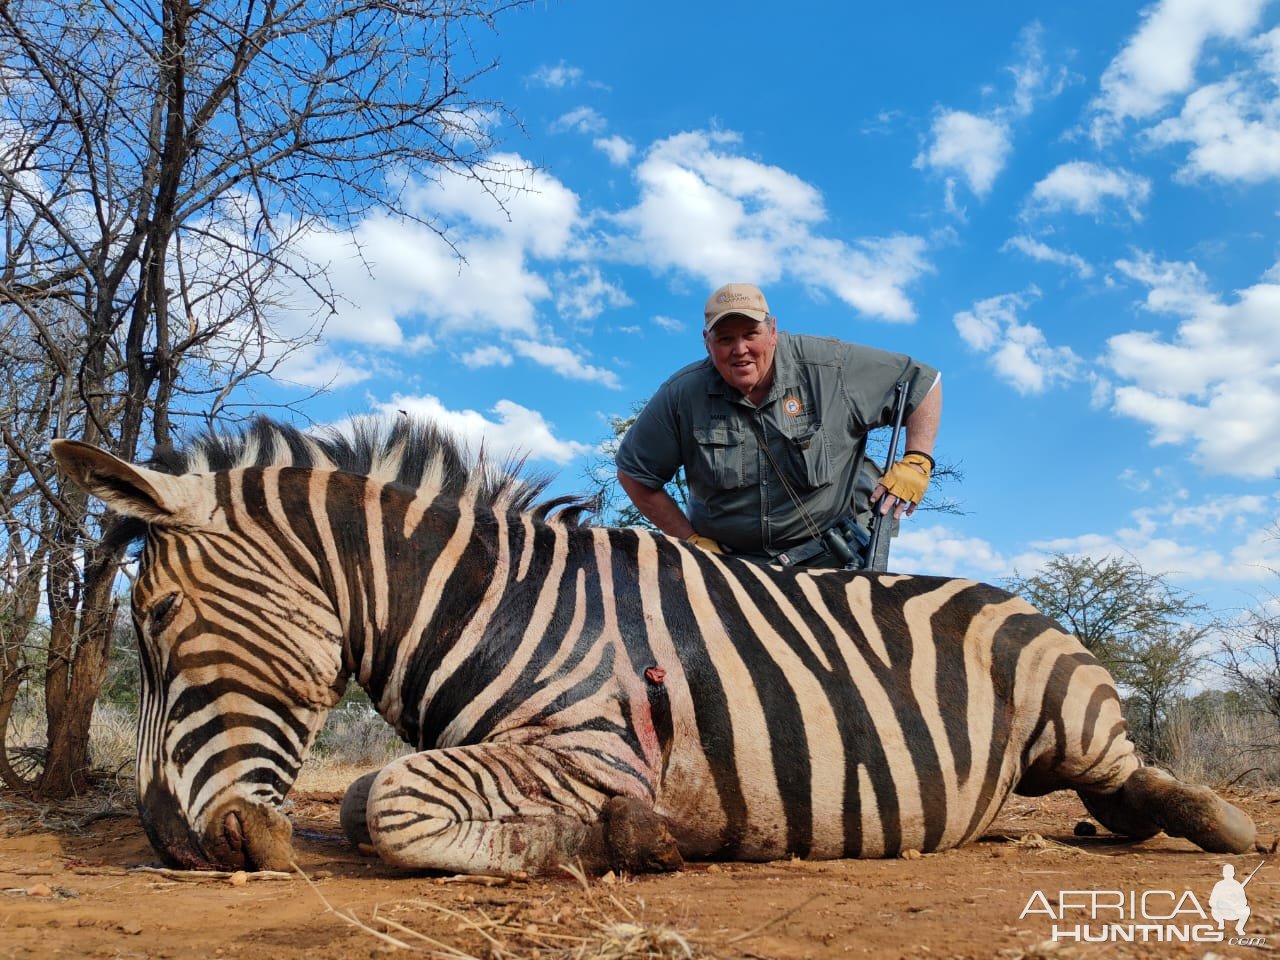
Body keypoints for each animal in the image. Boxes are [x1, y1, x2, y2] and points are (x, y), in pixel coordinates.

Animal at [47, 417, 1249, 875]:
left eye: (154, 624)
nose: (165, 844)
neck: (489, 606)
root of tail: (1016, 594)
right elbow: (358, 806)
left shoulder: (598, 744)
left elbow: (384, 803)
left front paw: (627, 839)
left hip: (1071, 712)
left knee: (1139, 776)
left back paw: (1209, 822)